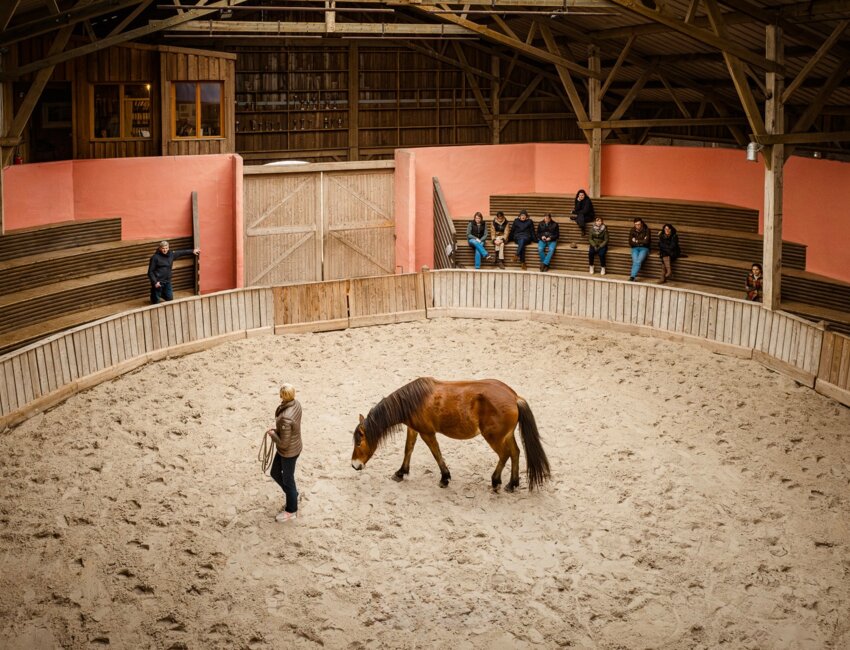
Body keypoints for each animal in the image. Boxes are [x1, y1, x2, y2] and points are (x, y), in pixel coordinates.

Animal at [351, 377, 550, 491]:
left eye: (359, 443)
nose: (354, 465)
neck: (414, 400)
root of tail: (514, 397)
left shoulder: (427, 433)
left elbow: (436, 454)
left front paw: (445, 478)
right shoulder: (413, 429)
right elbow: (408, 449)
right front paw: (401, 473)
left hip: (494, 438)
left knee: (505, 455)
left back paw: (496, 481)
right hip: (505, 436)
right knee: (515, 453)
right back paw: (512, 483)